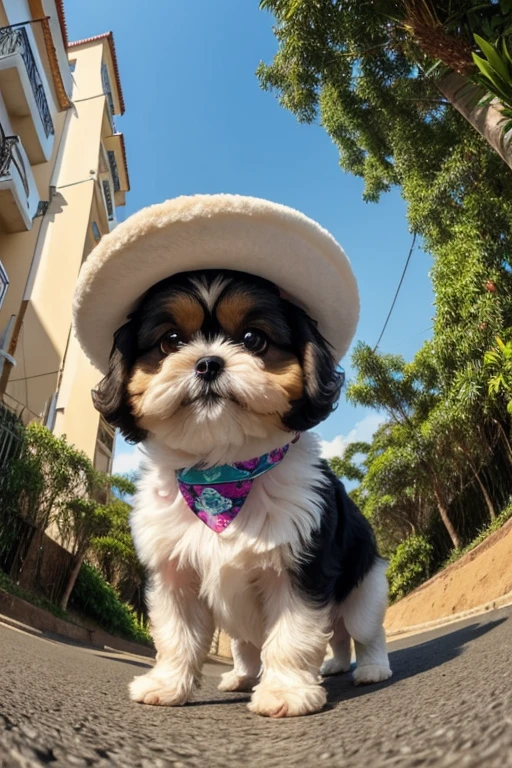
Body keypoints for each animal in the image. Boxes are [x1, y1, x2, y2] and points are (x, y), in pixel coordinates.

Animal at [92, 268, 390, 712]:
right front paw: (168, 684)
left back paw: (372, 668)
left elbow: (292, 635)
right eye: (170, 341)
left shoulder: (299, 570)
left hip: (364, 588)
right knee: (271, 643)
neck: (222, 475)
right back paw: (260, 674)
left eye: (253, 339)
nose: (208, 362)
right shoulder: (174, 575)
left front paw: (285, 691)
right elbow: (177, 635)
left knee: (363, 630)